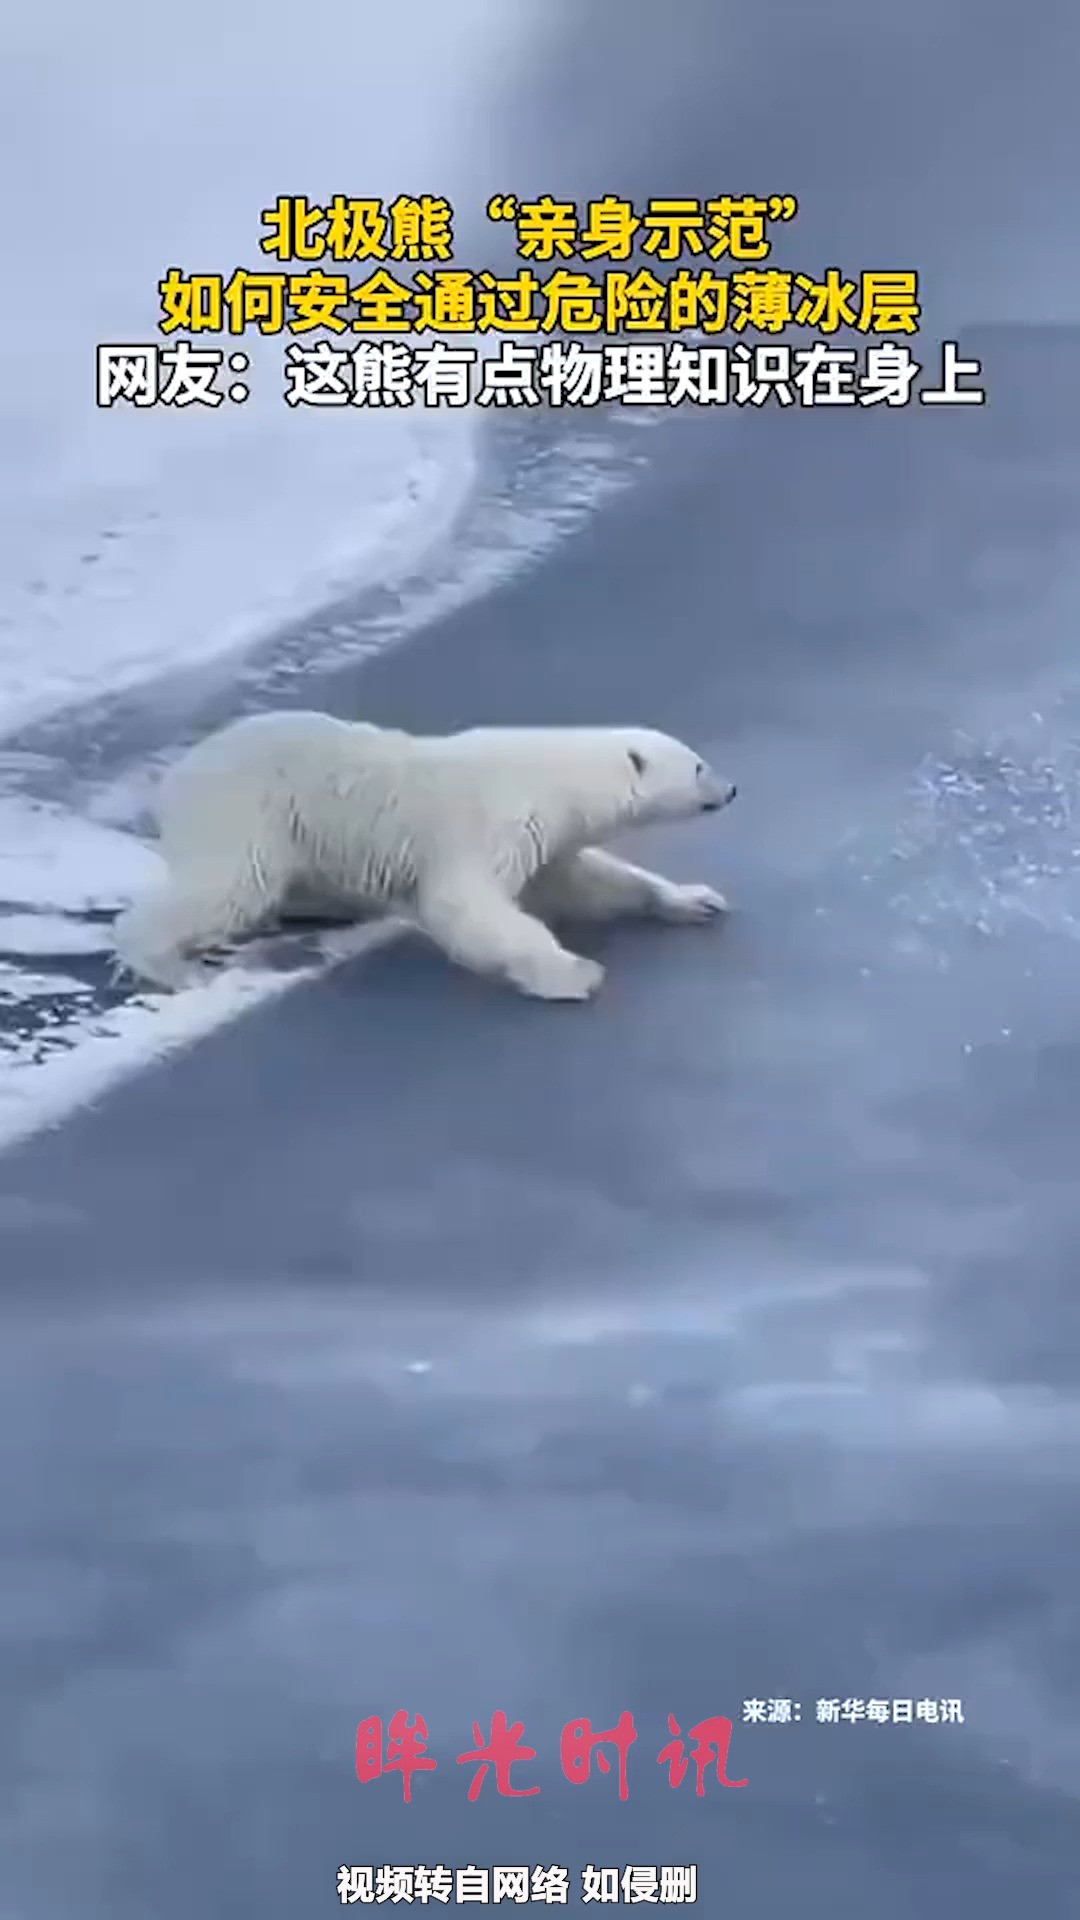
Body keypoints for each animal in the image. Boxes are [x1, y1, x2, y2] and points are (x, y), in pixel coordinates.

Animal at [113, 710, 734, 1006]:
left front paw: (695, 900)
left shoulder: (547, 840)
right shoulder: (492, 823)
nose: (730, 790)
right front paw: (573, 973)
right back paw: (171, 964)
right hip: (249, 811)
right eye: (699, 765)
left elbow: (582, 881)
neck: (553, 777)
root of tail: (172, 782)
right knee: (230, 884)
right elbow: (467, 905)